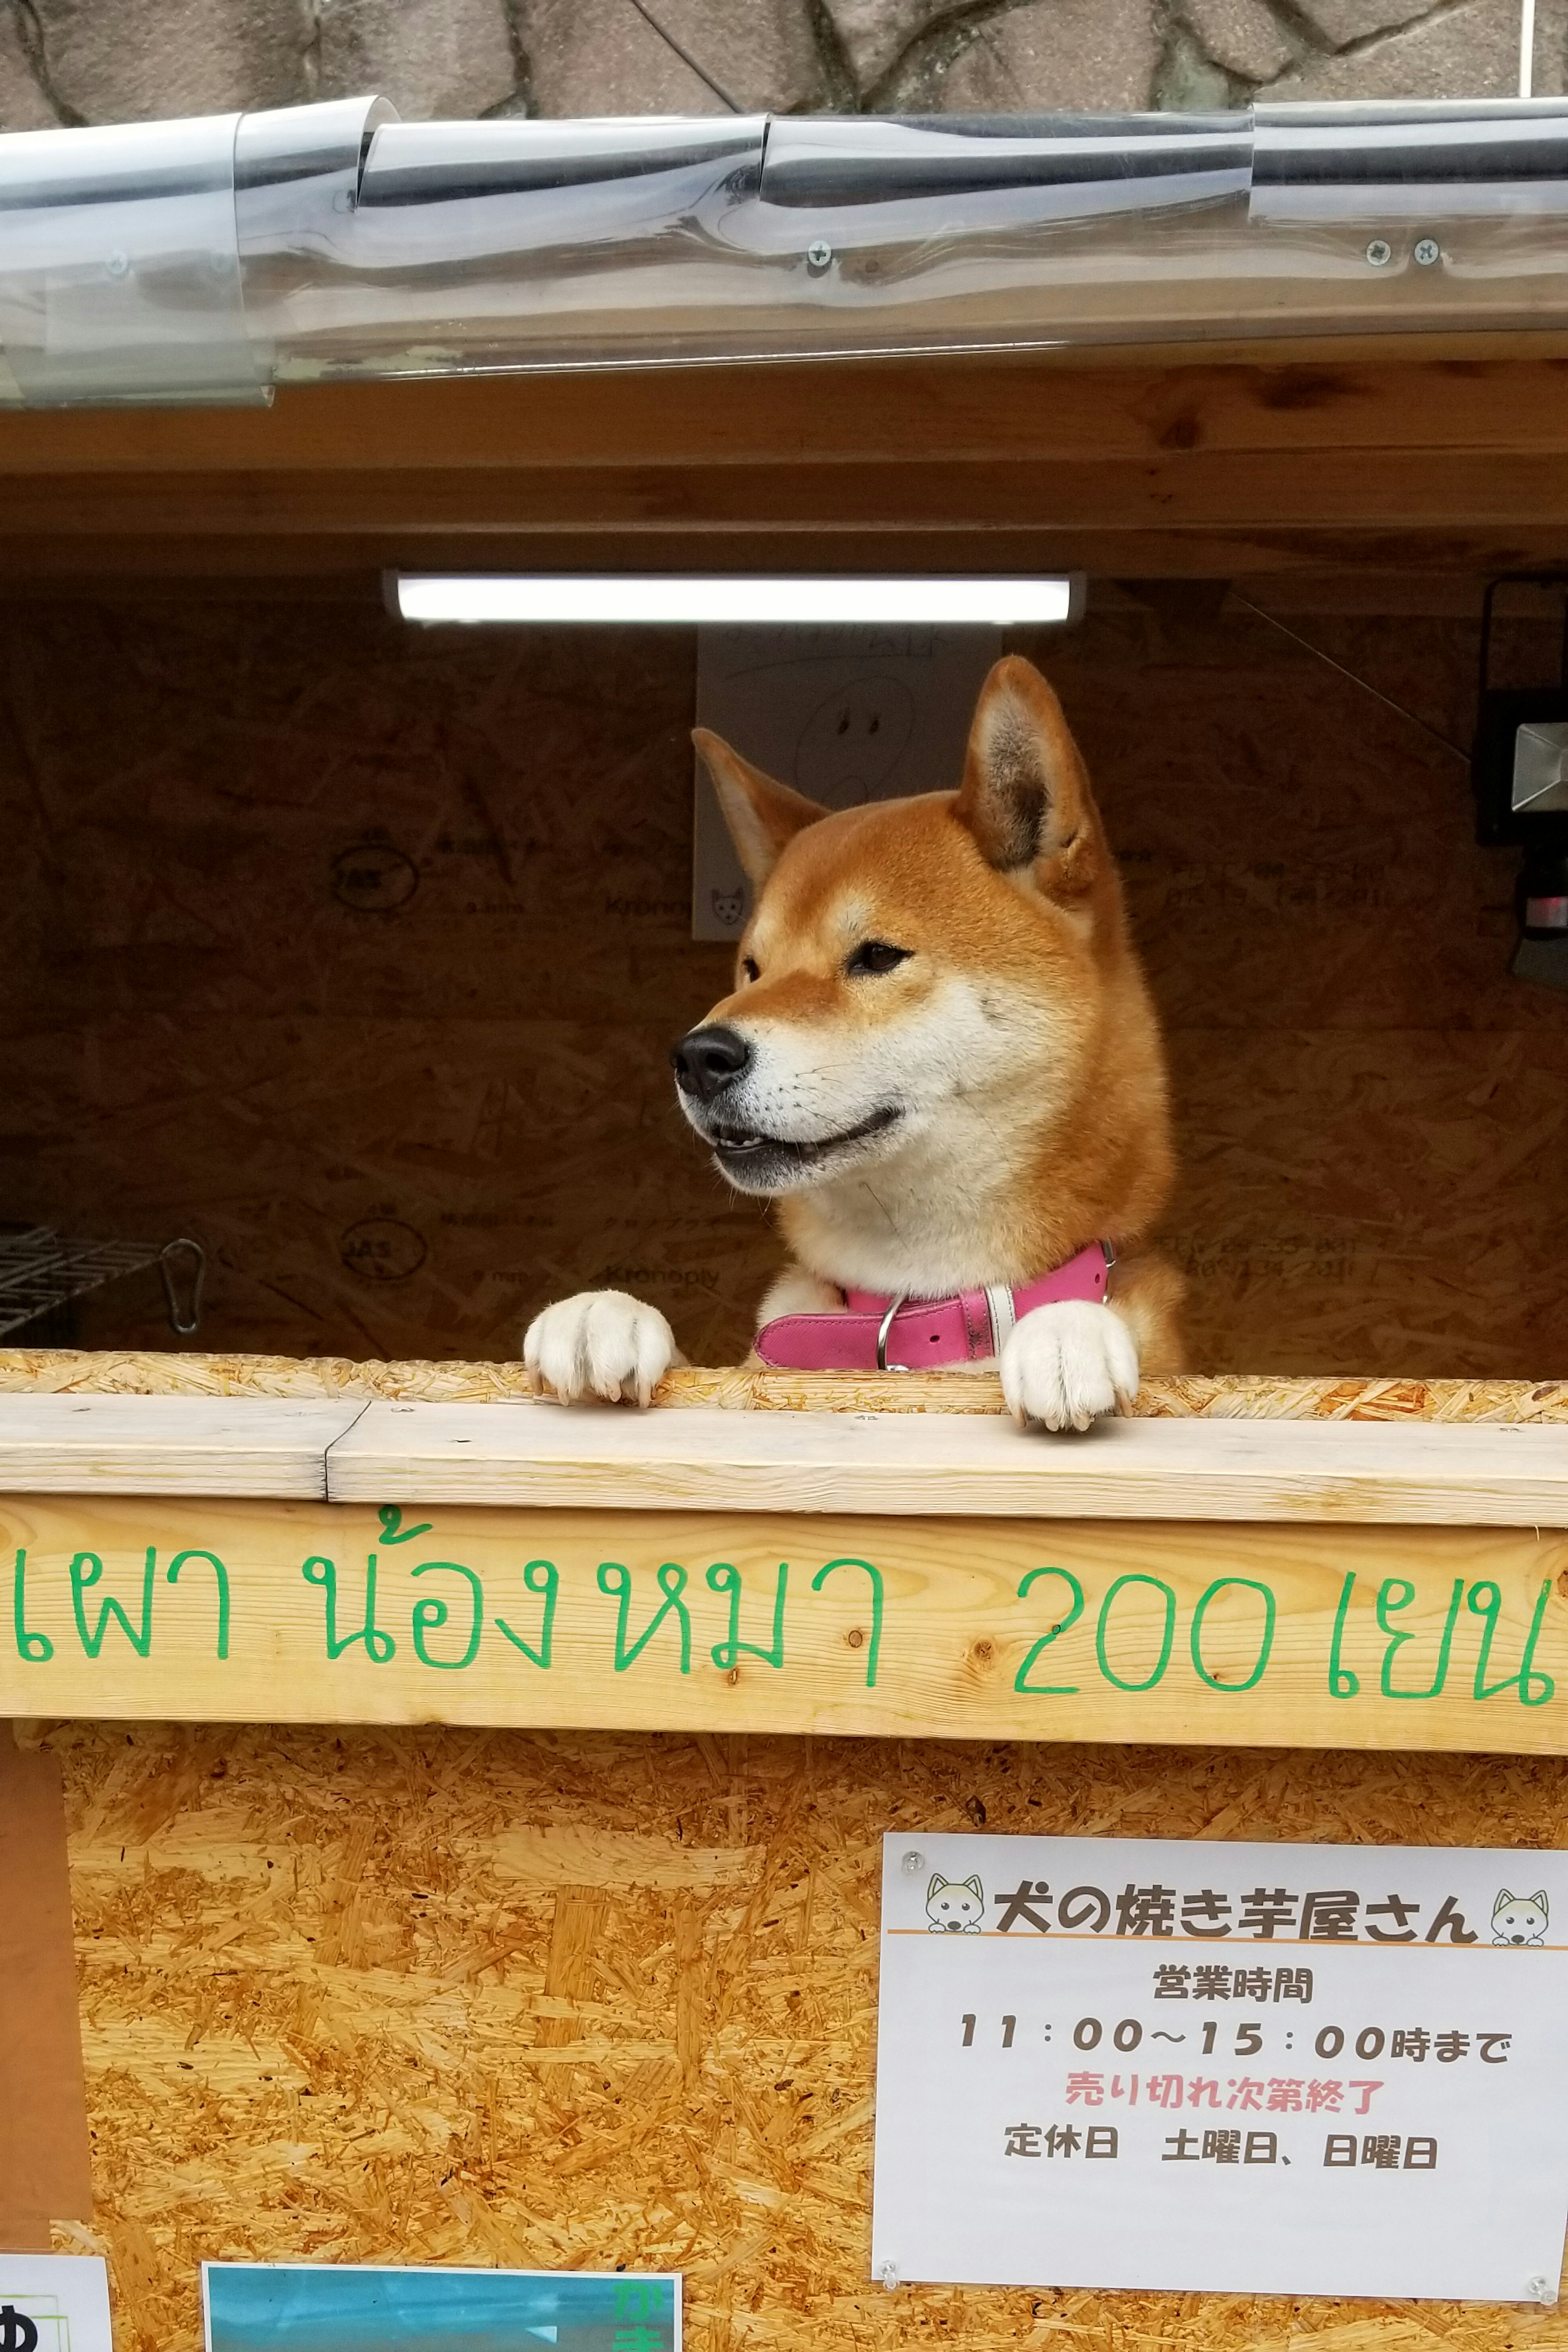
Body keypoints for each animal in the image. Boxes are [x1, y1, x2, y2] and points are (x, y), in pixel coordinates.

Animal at [522, 649, 1185, 1430]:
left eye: (876, 957)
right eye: (752, 968)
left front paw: (1067, 1328)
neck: (917, 1310)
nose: (698, 1059)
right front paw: (603, 1312)